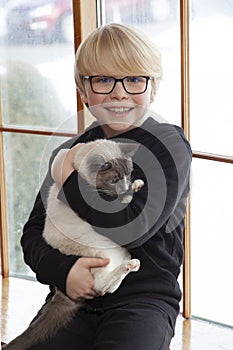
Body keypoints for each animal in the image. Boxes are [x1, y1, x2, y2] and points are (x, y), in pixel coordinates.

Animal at [4, 139, 144, 350]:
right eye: (114, 180)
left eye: (128, 175)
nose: (125, 187)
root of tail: (61, 291)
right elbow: (120, 202)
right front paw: (127, 196)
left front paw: (136, 185)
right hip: (103, 251)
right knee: (101, 287)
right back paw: (131, 265)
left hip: (118, 252)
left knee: (107, 288)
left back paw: (132, 263)